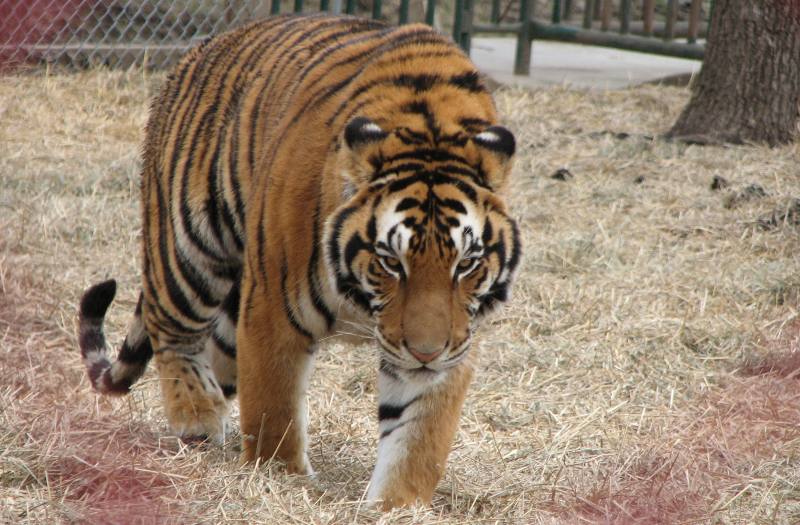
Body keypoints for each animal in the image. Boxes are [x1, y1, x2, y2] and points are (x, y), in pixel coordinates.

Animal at [78, 13, 520, 508]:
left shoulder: (452, 337)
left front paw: (396, 505)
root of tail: (201, 48)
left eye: (465, 264)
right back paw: (196, 414)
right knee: (169, 327)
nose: (426, 352)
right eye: (391, 262)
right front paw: (281, 477)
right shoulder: (272, 308)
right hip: (189, 248)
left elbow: (419, 435)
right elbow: (274, 405)